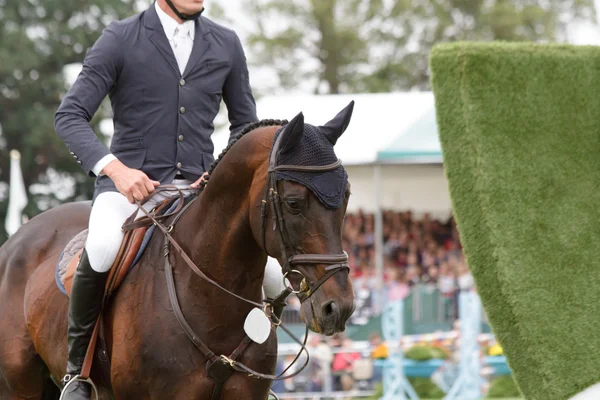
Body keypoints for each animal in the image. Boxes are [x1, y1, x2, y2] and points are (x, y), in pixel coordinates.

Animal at [0, 104, 356, 400]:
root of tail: (16, 238)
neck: (208, 294)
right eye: (294, 203)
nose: (338, 308)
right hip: (20, 387)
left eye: (346, 197)